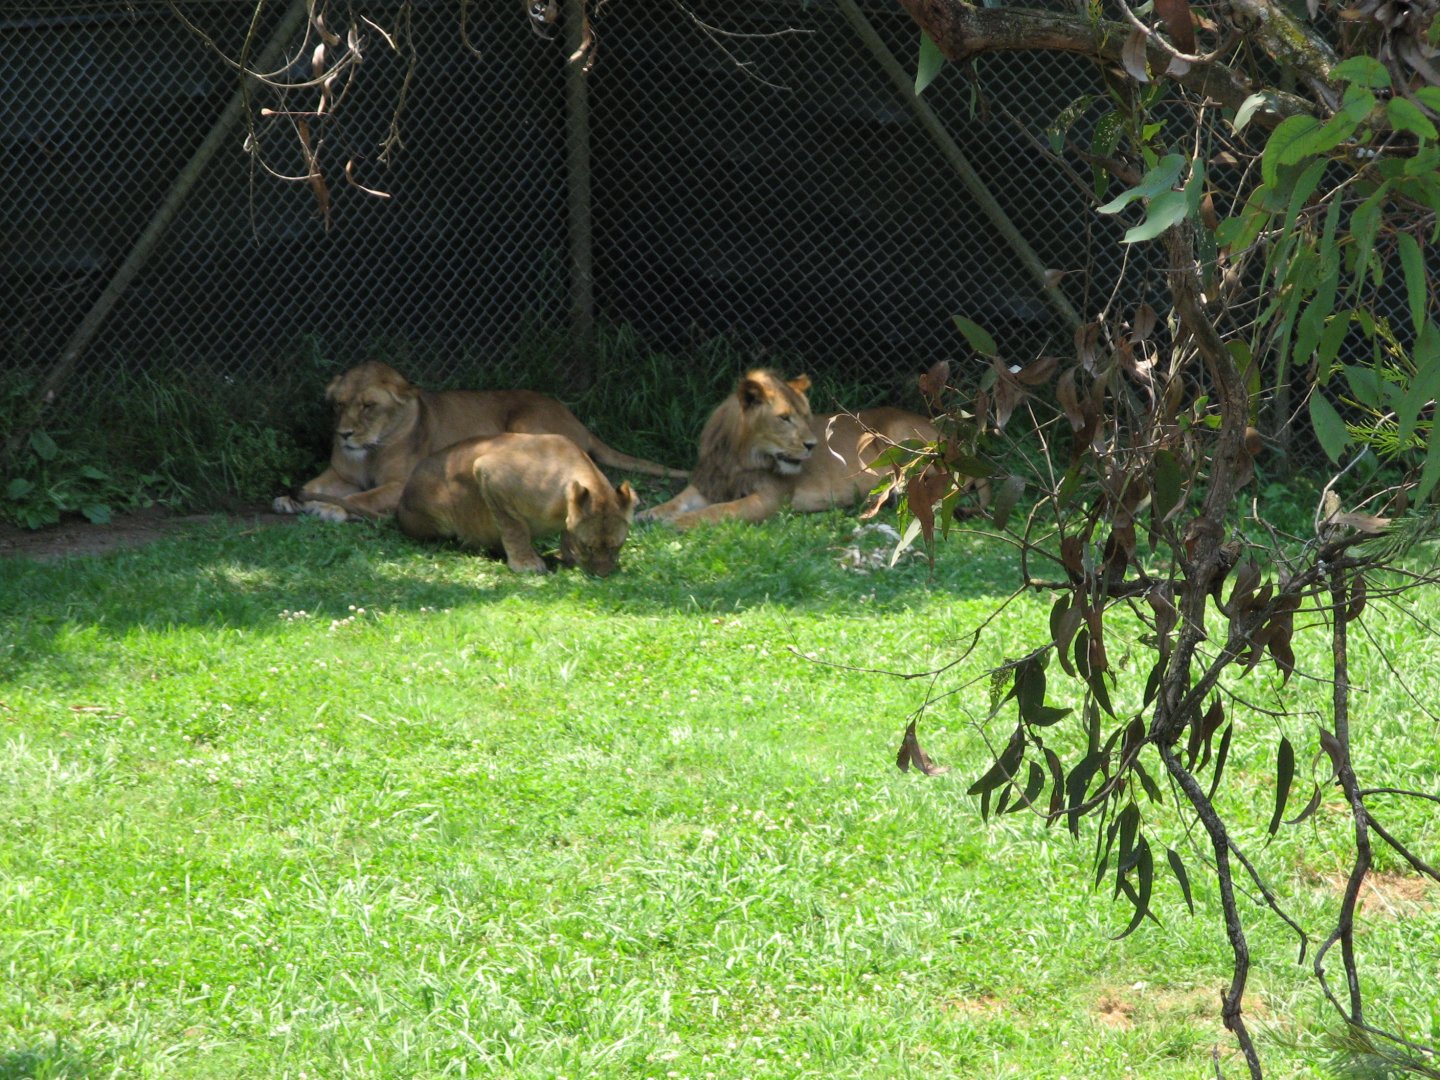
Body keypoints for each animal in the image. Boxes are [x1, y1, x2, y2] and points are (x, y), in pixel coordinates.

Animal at [273, 361, 686, 521]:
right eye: (339, 405)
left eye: (369, 406)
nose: (343, 434)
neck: (370, 451)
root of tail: (575, 419)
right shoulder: (341, 474)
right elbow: (317, 482)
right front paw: (290, 499)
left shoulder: (400, 483)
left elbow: (366, 497)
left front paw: (327, 509)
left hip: (525, 426)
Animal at [396, 433, 638, 576]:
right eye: (589, 546)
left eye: (616, 546)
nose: (603, 574)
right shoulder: (489, 473)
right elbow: (514, 529)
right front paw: (526, 564)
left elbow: (567, 533)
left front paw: (567, 556)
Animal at [639, 370, 937, 529]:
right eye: (784, 418)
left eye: (806, 416)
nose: (812, 445)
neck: (740, 457)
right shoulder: (711, 482)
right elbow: (678, 499)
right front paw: (649, 513)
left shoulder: (771, 498)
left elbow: (719, 510)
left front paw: (678, 523)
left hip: (901, 436)